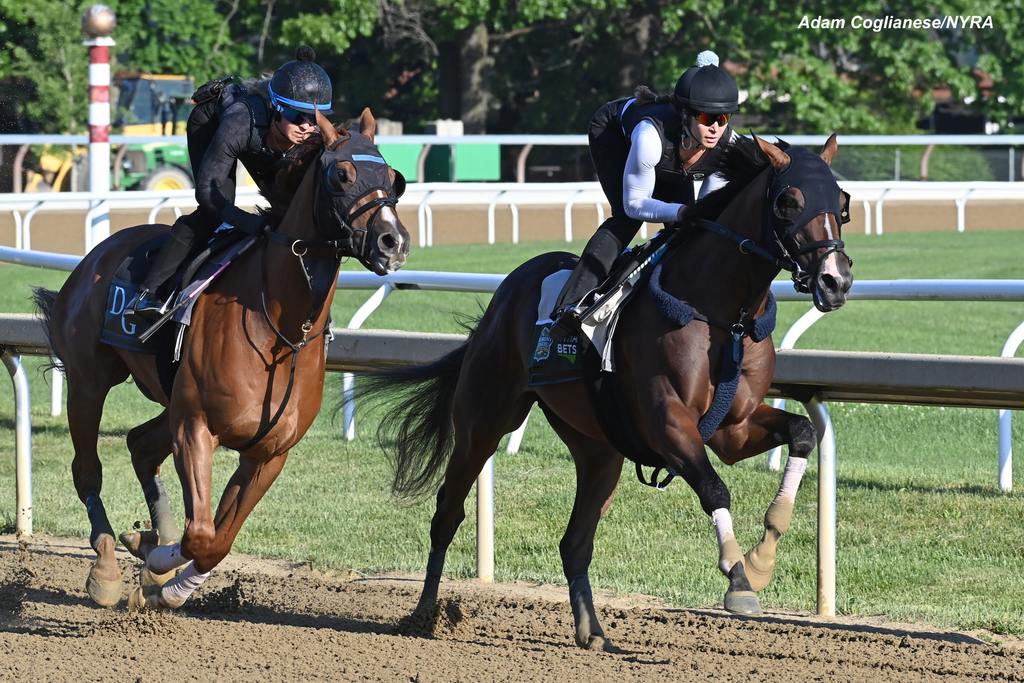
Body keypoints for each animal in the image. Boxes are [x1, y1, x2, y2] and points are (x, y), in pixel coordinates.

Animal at [36, 109, 411, 610]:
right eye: (342, 175)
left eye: (394, 179)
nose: (393, 242)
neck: (279, 335)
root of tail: (95, 255)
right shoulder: (195, 427)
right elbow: (200, 534)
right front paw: (159, 567)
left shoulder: (267, 452)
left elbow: (218, 540)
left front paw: (165, 577)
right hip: (89, 381)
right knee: (87, 469)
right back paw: (107, 567)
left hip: (169, 399)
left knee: (140, 444)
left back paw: (147, 543)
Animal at [364, 133, 851, 651]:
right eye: (788, 201)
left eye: (842, 202)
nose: (835, 280)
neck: (721, 315)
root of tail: (502, 298)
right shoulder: (666, 422)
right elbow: (715, 487)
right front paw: (739, 580)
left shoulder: (732, 427)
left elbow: (802, 433)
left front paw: (761, 559)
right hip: (483, 422)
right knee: (447, 513)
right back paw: (424, 613)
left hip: (598, 448)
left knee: (574, 542)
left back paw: (592, 631)